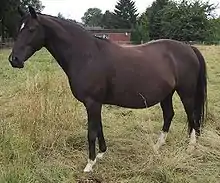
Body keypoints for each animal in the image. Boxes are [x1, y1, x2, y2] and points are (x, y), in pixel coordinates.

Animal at [8, 6, 207, 173]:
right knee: (169, 115)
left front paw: (89, 164)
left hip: (186, 94)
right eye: (19, 29)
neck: (86, 55)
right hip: (166, 94)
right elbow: (99, 128)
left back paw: (190, 148)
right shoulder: (96, 103)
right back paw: (157, 147)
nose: (14, 59)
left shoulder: (92, 102)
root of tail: (188, 47)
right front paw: (101, 154)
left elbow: (91, 132)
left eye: (31, 29)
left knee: (192, 117)